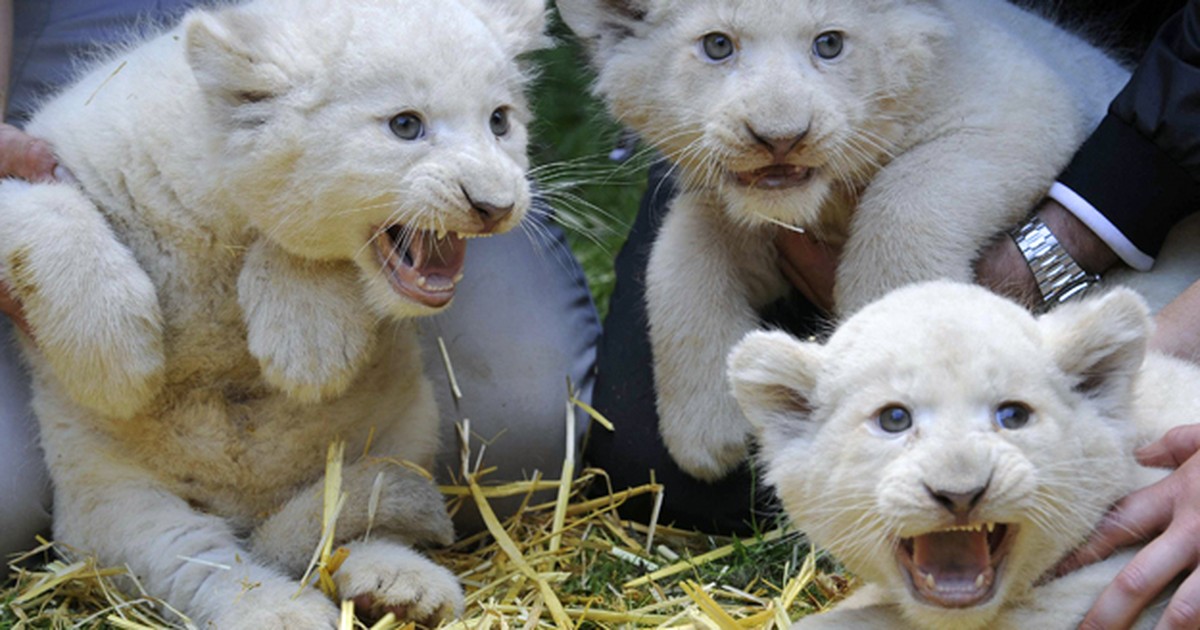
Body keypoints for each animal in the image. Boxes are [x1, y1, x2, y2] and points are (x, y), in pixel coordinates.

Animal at [556, 0, 1136, 481]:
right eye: (718, 45)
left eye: (829, 43)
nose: (781, 138)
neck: (827, 203)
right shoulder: (748, 220)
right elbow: (677, 252)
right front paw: (705, 435)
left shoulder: (1020, 109)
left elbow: (905, 196)